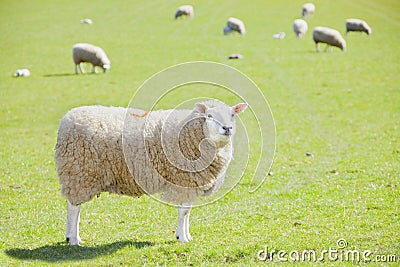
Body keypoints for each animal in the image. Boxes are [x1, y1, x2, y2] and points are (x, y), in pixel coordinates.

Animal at [53, 99, 247, 246]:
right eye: (209, 116)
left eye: (232, 115)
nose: (227, 128)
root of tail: (67, 120)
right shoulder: (183, 181)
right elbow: (183, 212)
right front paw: (182, 238)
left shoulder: (191, 182)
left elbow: (187, 211)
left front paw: (186, 235)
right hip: (79, 172)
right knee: (74, 207)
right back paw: (74, 239)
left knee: (73, 205)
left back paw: (70, 237)